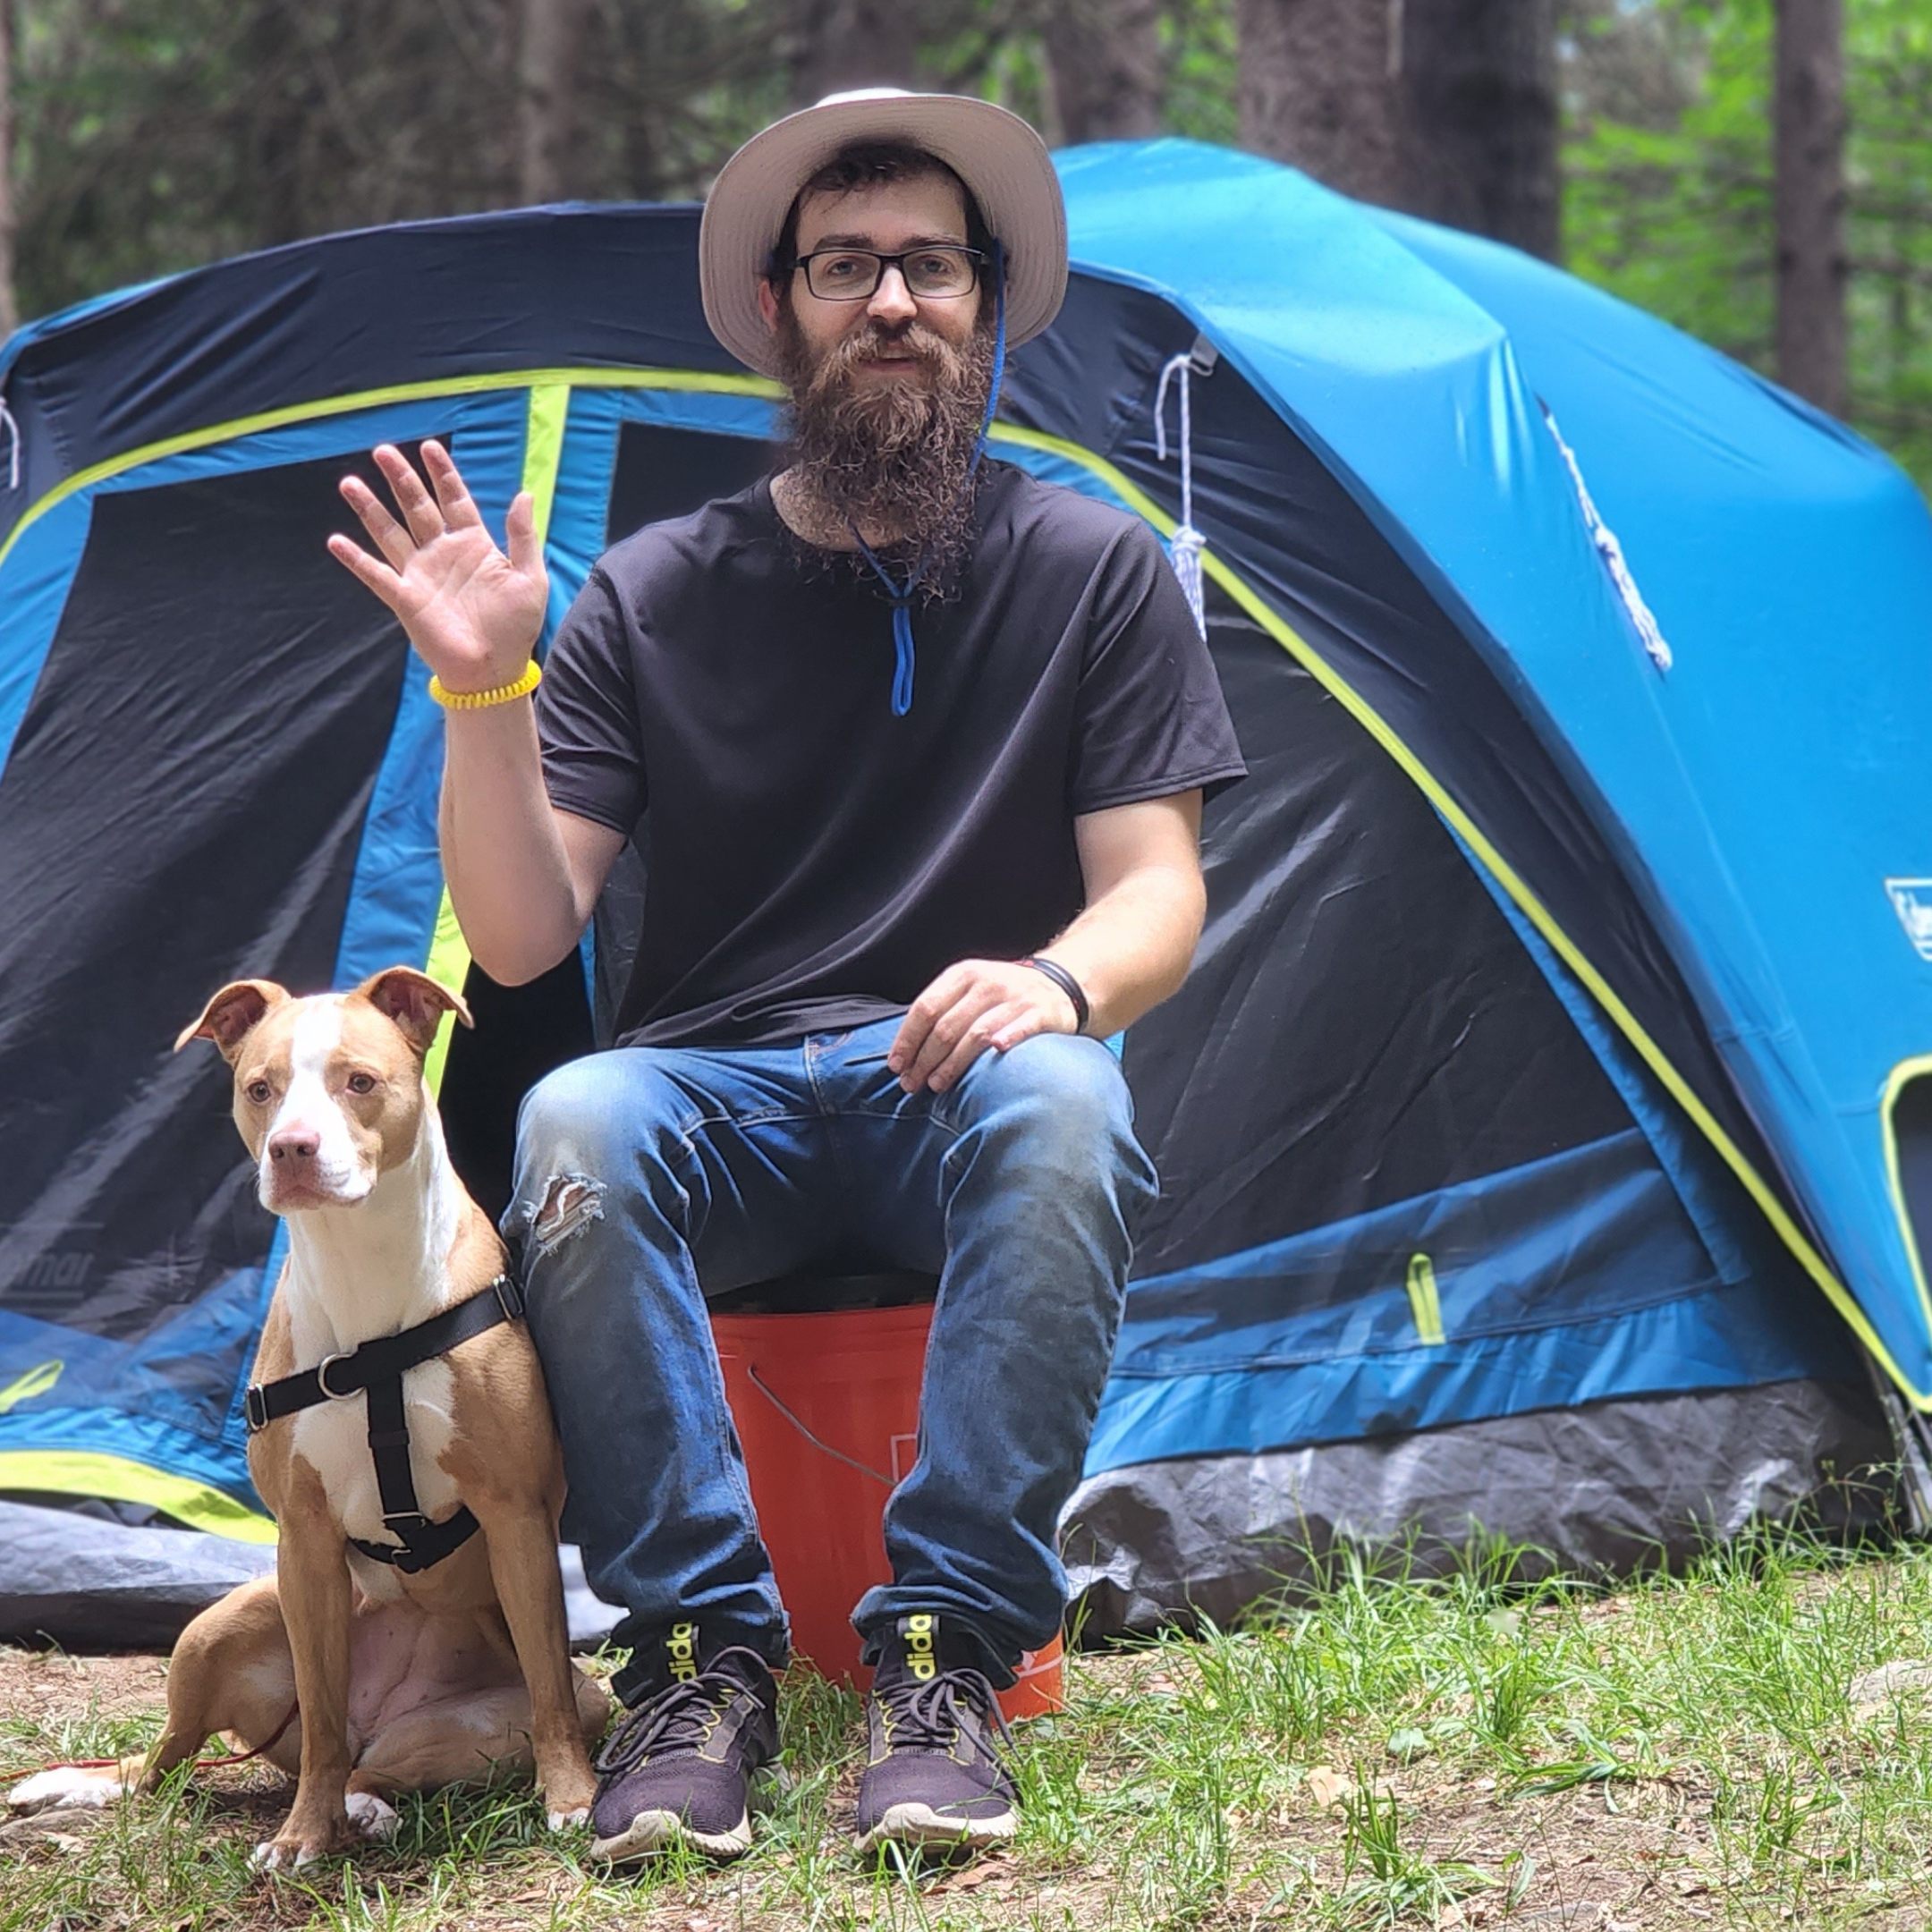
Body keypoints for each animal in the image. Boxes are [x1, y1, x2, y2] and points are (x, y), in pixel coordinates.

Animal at [5, 973, 602, 1862]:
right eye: (261, 1089)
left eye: (359, 1081)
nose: (291, 1146)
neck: (363, 1276)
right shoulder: (306, 1537)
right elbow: (320, 1713)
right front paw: (299, 1838)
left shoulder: (516, 1515)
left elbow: (549, 1684)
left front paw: (571, 1799)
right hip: (226, 1620)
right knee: (173, 1761)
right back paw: (71, 1786)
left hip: (483, 1715)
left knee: (384, 1760)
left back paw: (367, 1805)